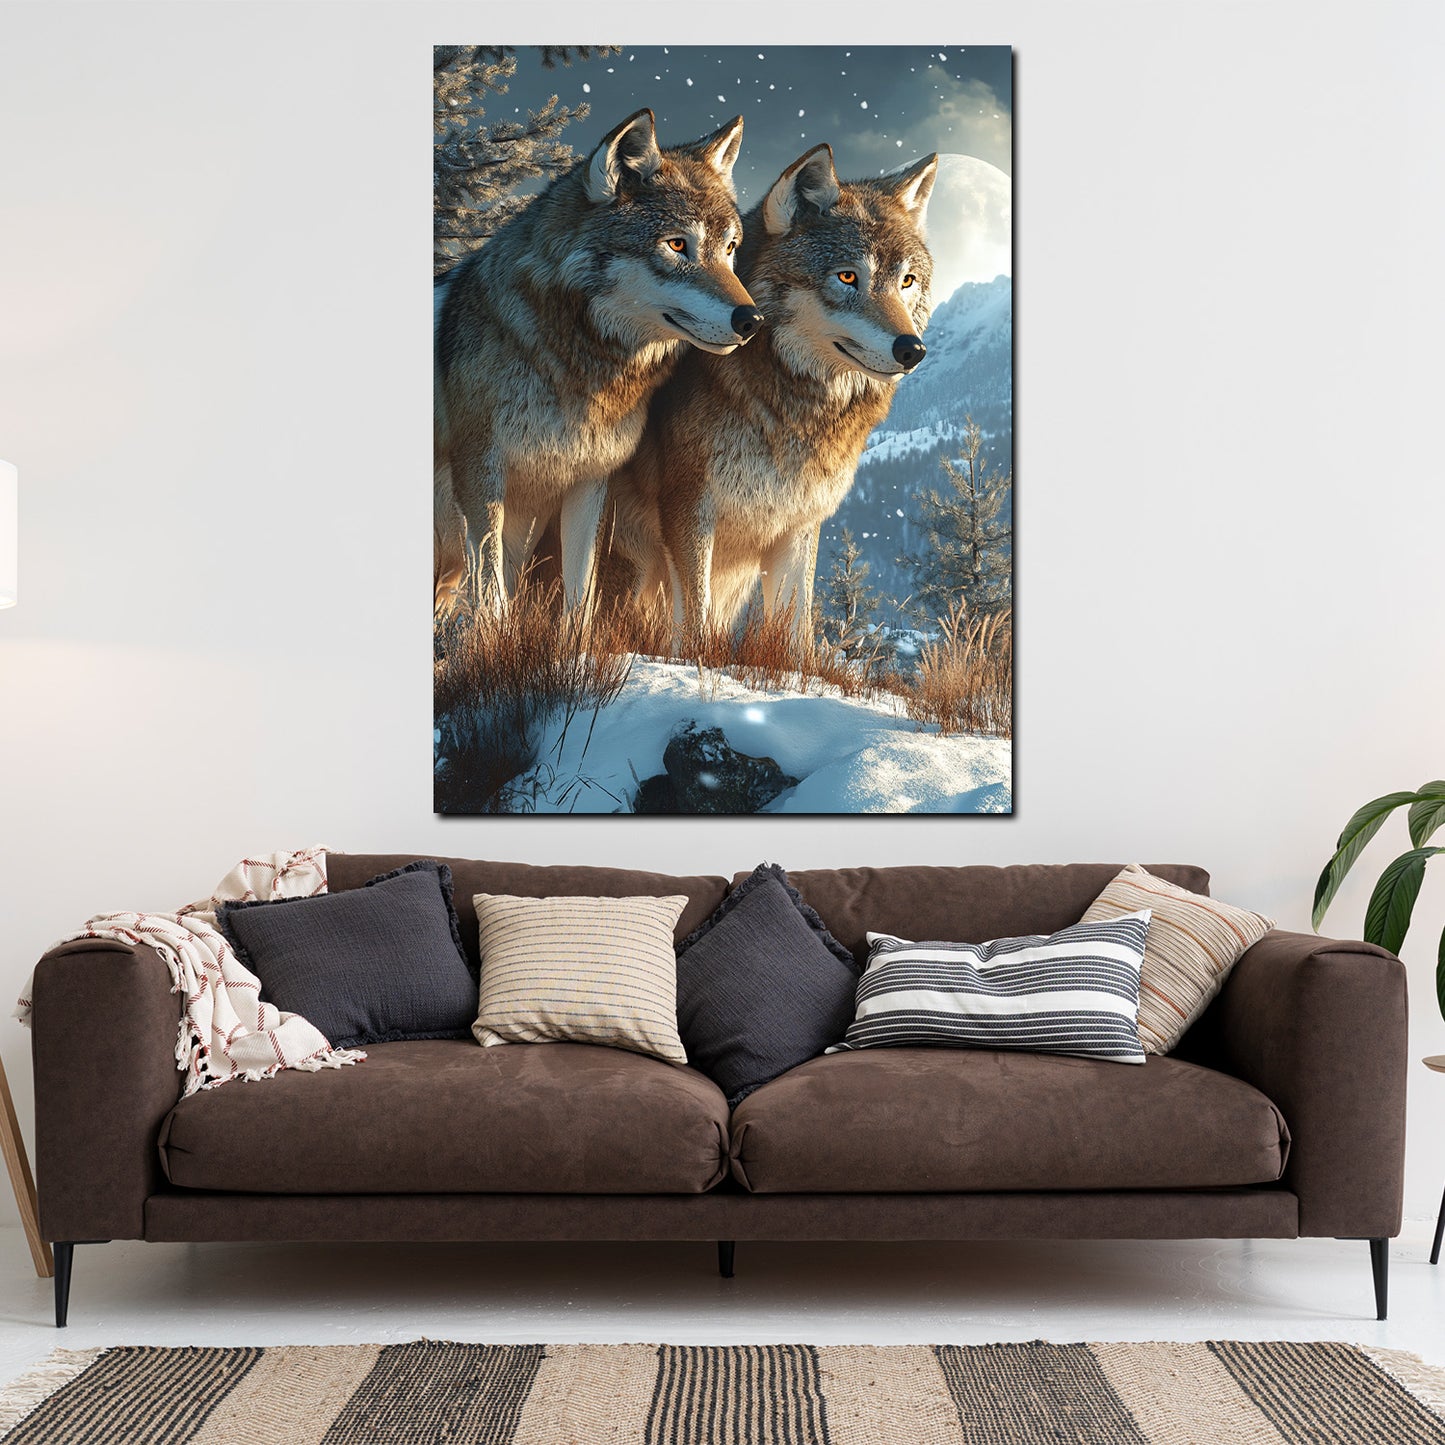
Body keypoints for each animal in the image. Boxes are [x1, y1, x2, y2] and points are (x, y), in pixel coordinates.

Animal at [434, 108, 763, 615]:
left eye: (729, 249)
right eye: (676, 245)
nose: (752, 320)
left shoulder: (589, 483)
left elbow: (579, 601)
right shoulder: (480, 477)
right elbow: (493, 600)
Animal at [599, 144, 936, 645]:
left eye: (907, 281)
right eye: (847, 277)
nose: (912, 349)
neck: (790, 410)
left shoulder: (797, 525)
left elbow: (798, 631)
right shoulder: (688, 508)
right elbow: (695, 619)